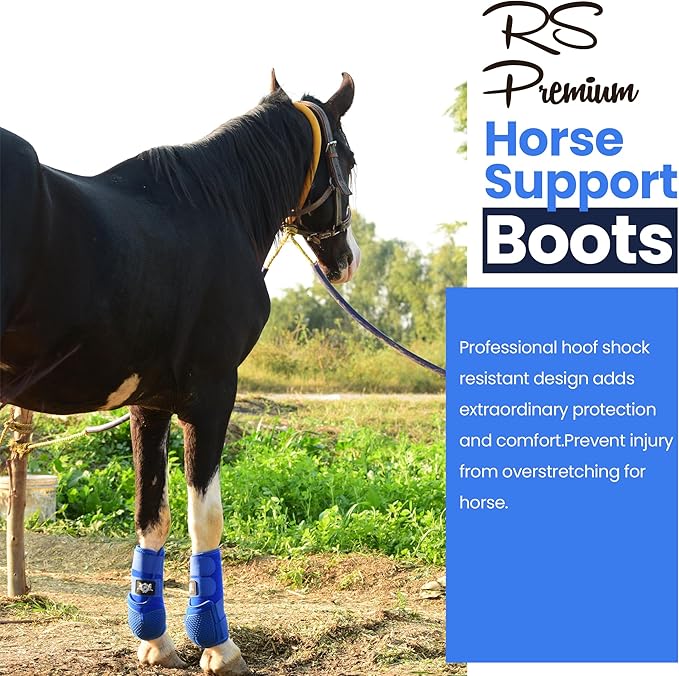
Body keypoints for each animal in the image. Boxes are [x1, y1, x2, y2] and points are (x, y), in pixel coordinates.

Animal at [0, 71, 359, 675]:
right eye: (350, 158)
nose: (347, 259)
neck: (214, 207)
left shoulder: (149, 404)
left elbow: (152, 515)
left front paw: (155, 640)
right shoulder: (211, 394)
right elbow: (203, 518)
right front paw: (218, 645)